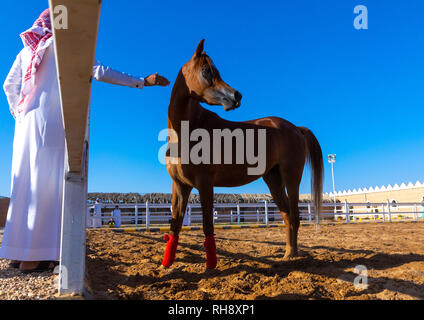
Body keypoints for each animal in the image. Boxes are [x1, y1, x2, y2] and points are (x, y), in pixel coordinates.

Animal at [161, 40, 322, 268]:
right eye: (206, 71)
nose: (236, 96)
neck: (187, 131)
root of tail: (295, 128)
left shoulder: (205, 184)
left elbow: (208, 225)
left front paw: (211, 267)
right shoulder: (180, 186)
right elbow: (175, 225)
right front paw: (166, 265)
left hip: (292, 178)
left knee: (295, 216)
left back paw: (293, 255)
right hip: (273, 179)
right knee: (287, 216)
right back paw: (288, 254)